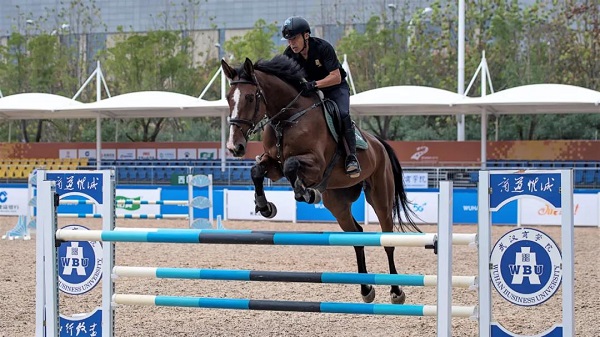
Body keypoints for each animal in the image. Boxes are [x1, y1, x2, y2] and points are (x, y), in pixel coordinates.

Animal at [220, 55, 422, 304]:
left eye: (250, 97)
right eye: (229, 98)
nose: (234, 147)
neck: (288, 118)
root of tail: (379, 144)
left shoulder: (315, 164)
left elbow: (291, 165)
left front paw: (306, 192)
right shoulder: (273, 165)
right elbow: (257, 171)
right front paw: (265, 206)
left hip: (380, 197)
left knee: (387, 240)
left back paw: (396, 291)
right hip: (337, 203)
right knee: (356, 235)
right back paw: (366, 289)